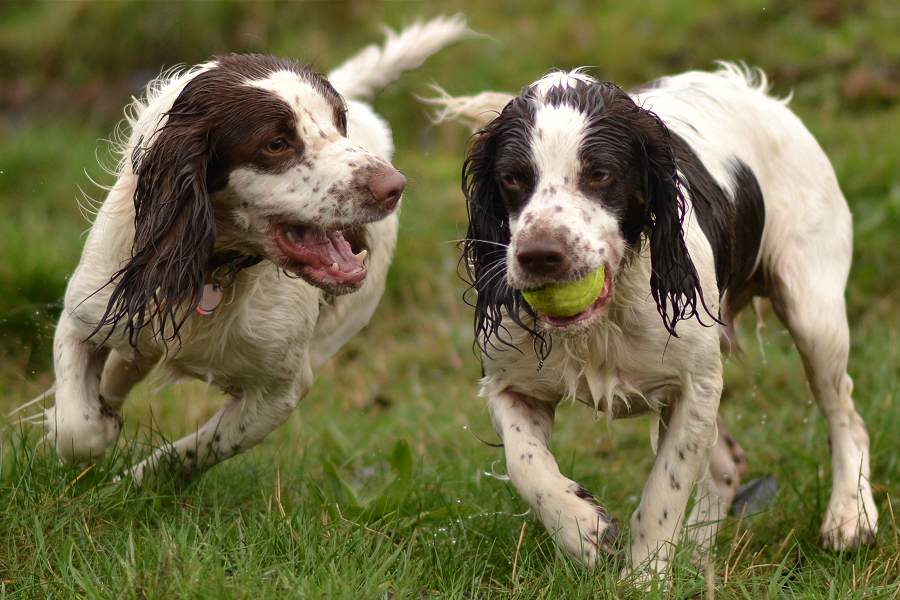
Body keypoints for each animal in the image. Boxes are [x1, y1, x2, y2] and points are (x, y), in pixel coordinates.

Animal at [24, 16, 468, 486]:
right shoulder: (84, 314)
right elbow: (78, 428)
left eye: (339, 122)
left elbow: (189, 453)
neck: (210, 271)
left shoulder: (279, 391)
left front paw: (130, 483)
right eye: (276, 143)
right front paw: (92, 427)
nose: (394, 186)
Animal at [432, 64, 876, 576]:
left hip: (813, 313)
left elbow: (665, 490)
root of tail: (753, 90)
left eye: (600, 173)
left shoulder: (693, 386)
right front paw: (584, 529)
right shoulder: (510, 384)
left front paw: (644, 578)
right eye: (512, 178)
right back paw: (698, 557)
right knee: (728, 467)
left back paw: (850, 515)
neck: (601, 322)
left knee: (844, 414)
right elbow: (524, 465)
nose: (539, 256)